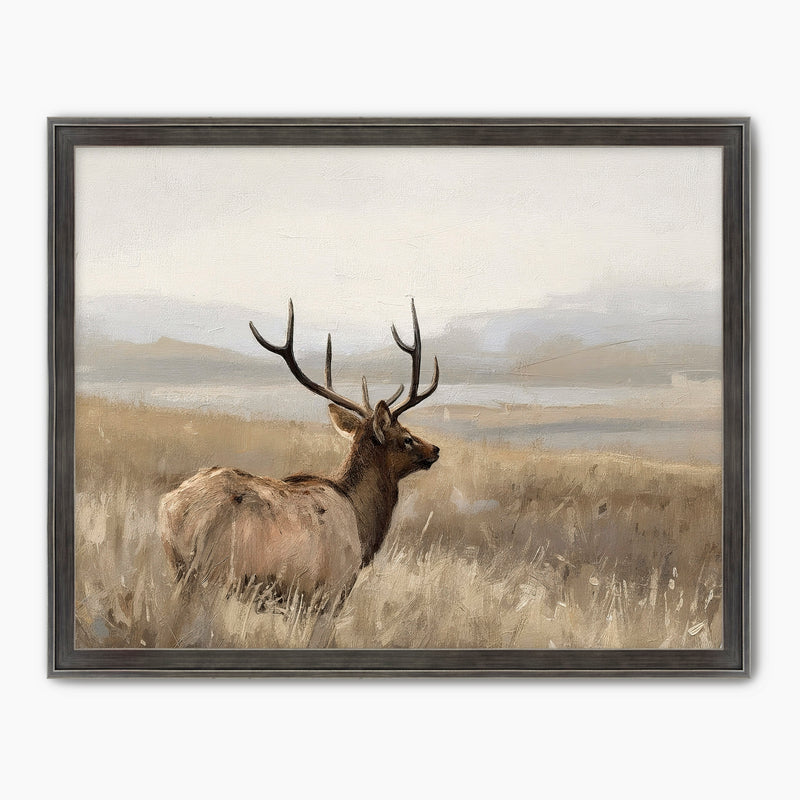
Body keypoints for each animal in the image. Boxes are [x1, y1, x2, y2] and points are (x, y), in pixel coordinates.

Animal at [157, 298, 440, 613]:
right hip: (214, 575)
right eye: (406, 438)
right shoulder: (328, 593)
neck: (362, 524)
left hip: (180, 571)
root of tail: (174, 509)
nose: (435, 450)